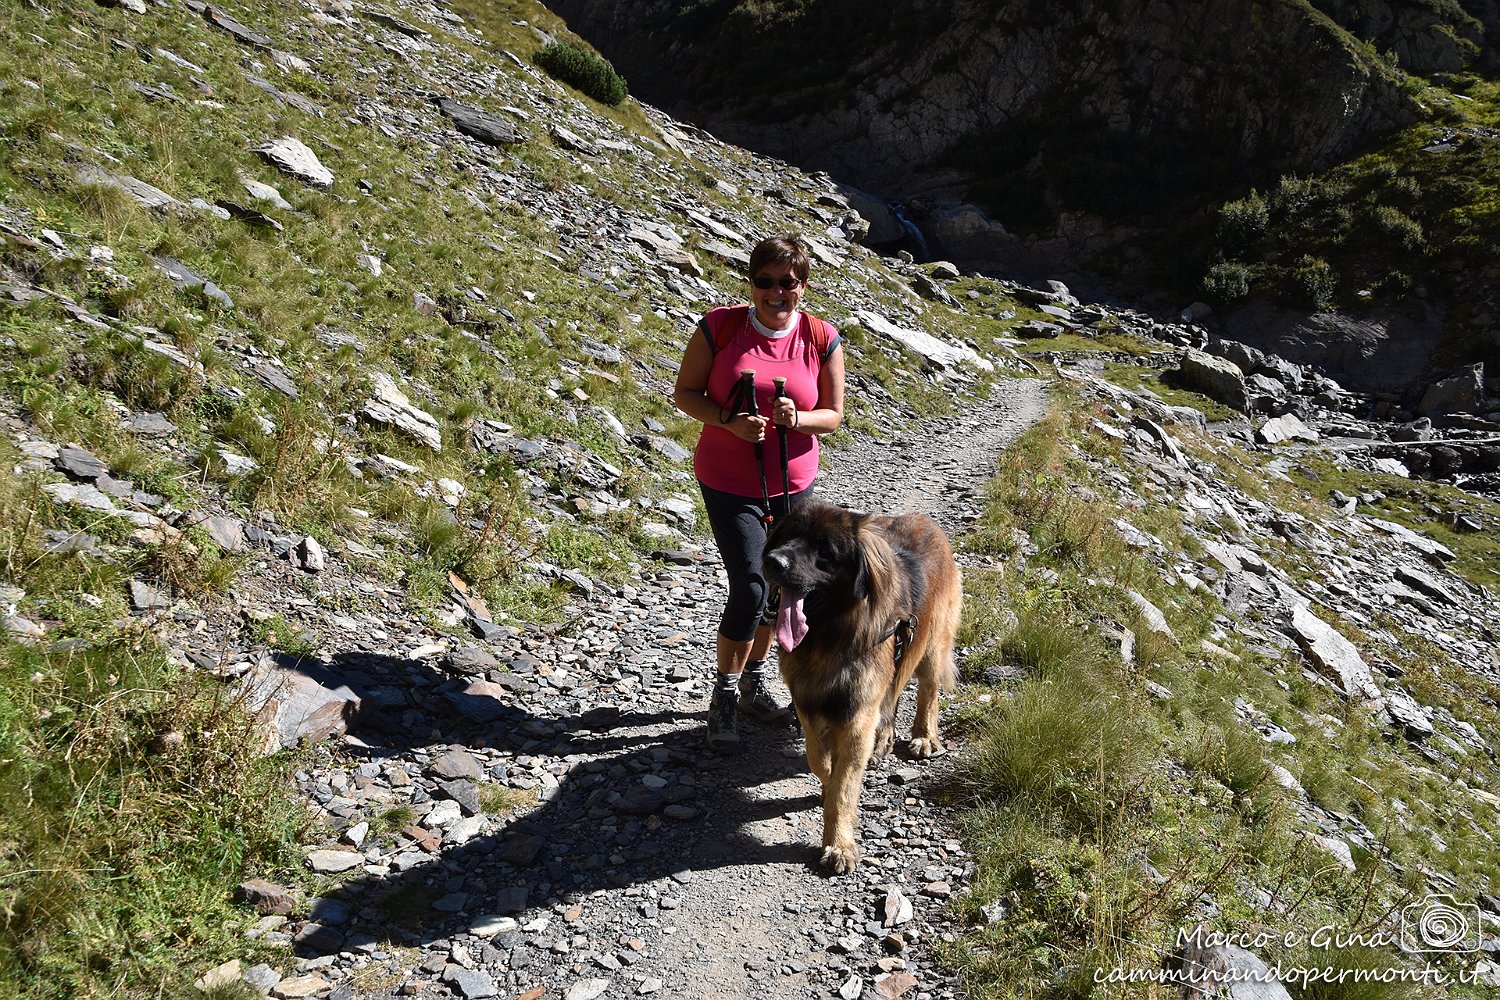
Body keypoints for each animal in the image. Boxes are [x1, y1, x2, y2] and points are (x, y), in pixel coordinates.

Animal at [762, 500, 960, 875]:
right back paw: (884, 741)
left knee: (928, 689)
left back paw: (924, 736)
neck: (829, 637)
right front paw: (826, 786)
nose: (772, 561)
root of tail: (926, 522)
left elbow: (843, 783)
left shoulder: (856, 716)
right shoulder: (808, 703)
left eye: (825, 551)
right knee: (891, 699)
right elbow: (819, 760)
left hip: (930, 642)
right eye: (788, 536)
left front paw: (838, 845)